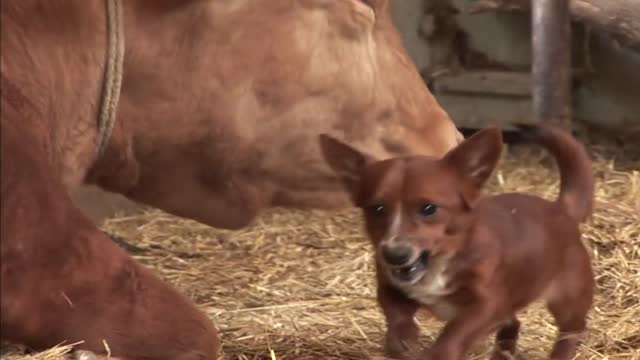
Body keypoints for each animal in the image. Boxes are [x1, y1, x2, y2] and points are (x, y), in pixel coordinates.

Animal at [320, 124, 596, 360]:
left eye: (429, 208)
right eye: (377, 209)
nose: (394, 255)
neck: (441, 261)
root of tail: (561, 209)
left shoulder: (487, 304)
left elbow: (454, 335)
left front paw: (435, 352)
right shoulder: (390, 288)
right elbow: (396, 315)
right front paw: (402, 342)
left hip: (567, 302)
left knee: (572, 331)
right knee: (512, 324)